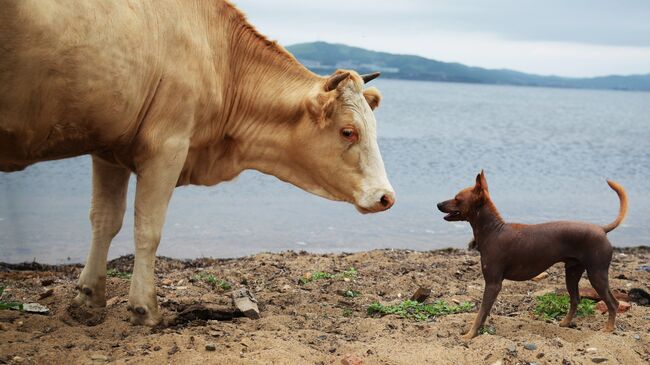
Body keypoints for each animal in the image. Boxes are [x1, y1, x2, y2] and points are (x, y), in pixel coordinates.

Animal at [0, 0, 394, 324]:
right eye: (348, 131)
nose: (387, 196)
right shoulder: (167, 146)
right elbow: (148, 228)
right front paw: (144, 308)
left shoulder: (108, 148)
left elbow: (105, 220)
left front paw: (88, 298)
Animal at [438, 171, 624, 338]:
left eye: (457, 198)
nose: (438, 204)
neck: (493, 231)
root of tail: (601, 229)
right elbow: (483, 313)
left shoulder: (493, 284)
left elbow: (481, 312)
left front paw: (470, 335)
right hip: (572, 273)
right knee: (576, 299)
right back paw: (565, 323)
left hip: (596, 274)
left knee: (613, 303)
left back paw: (608, 329)